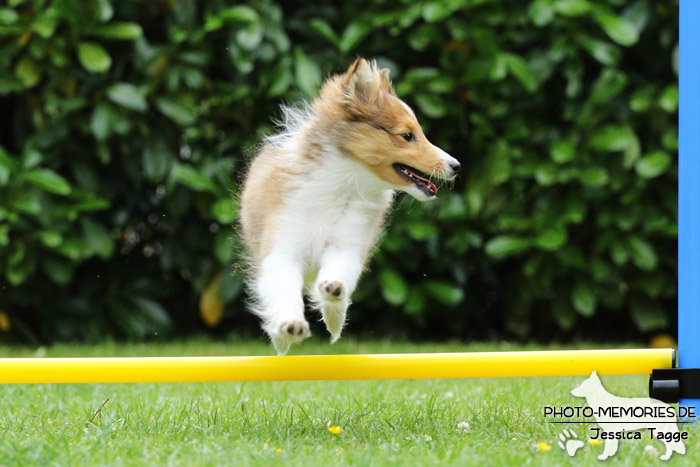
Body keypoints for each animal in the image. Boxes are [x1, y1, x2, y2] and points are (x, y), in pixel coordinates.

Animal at [241, 57, 460, 354]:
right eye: (407, 135)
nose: (456, 166)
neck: (343, 185)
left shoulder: (347, 242)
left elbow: (339, 272)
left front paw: (333, 293)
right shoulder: (283, 244)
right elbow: (283, 287)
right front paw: (289, 325)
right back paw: (282, 339)